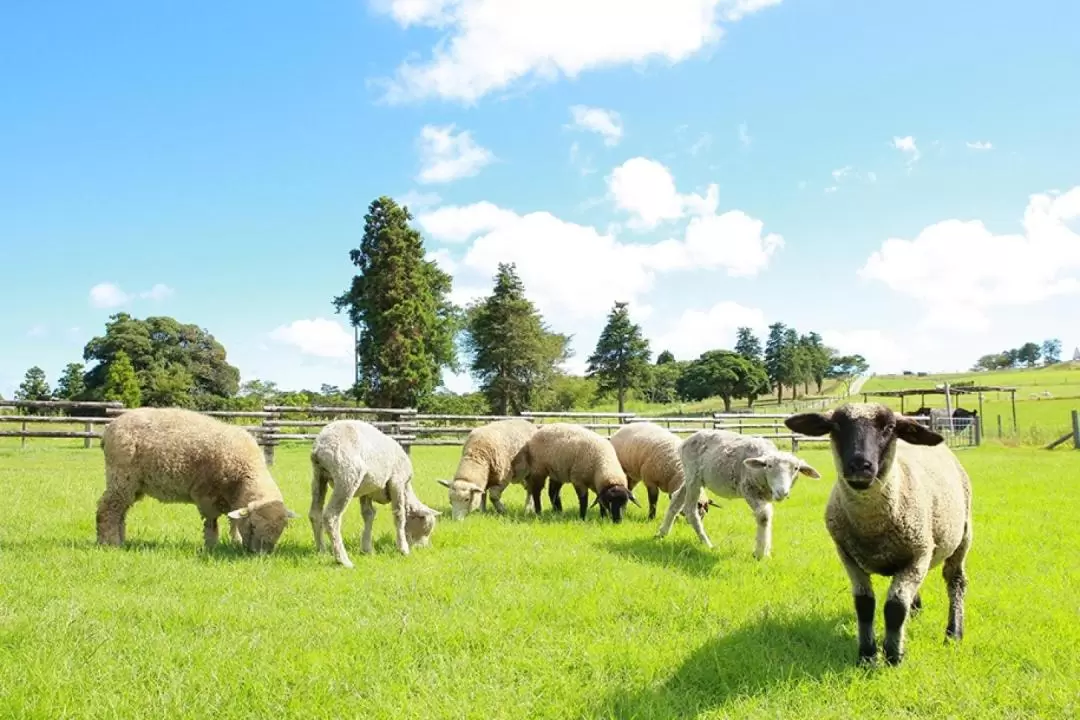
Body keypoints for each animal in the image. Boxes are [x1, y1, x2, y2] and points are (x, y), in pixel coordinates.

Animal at [96, 408, 300, 557]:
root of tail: (110, 427)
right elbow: (212, 523)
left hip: (134, 484)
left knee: (121, 511)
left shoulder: (231, 498)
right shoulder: (207, 495)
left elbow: (233, 521)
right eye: (253, 526)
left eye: (280, 531)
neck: (244, 474)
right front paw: (211, 546)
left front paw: (236, 541)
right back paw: (110, 543)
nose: (261, 556)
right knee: (108, 509)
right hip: (121, 476)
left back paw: (121, 540)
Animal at [308, 418, 438, 569]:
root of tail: (320, 446)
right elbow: (399, 515)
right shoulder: (397, 481)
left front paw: (367, 549)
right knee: (331, 516)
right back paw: (343, 560)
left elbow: (369, 515)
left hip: (319, 476)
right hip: (347, 475)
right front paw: (403, 549)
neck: (407, 488)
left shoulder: (367, 491)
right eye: (426, 528)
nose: (423, 548)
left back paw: (322, 551)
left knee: (315, 514)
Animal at [507, 423, 635, 524]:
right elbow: (584, 501)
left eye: (625, 501)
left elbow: (599, 500)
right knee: (537, 491)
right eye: (610, 501)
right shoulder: (579, 480)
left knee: (553, 492)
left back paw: (558, 512)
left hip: (557, 471)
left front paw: (603, 517)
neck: (603, 463)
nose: (617, 521)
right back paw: (539, 512)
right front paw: (582, 518)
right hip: (539, 469)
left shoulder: (598, 485)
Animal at [652, 431, 820, 561]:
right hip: (694, 476)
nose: (782, 492)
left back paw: (662, 533)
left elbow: (767, 518)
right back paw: (707, 543)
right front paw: (760, 554)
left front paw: (764, 550)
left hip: (690, 477)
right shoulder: (748, 489)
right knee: (689, 509)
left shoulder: (765, 496)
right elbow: (764, 516)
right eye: (769, 466)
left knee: (676, 499)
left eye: (796, 468)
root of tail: (685, 441)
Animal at [781, 403, 976, 669]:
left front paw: (893, 656)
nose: (859, 465)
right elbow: (864, 605)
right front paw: (867, 655)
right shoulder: (848, 555)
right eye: (835, 425)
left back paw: (953, 633)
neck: (872, 527)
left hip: (962, 537)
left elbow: (895, 607)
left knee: (955, 581)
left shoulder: (919, 553)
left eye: (889, 427)